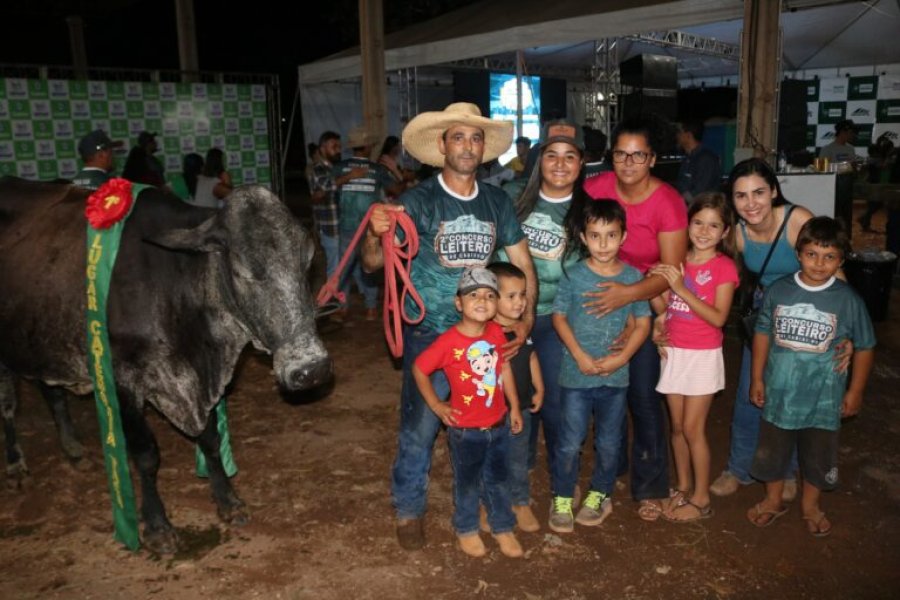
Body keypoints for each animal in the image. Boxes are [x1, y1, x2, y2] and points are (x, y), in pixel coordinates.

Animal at [0, 178, 330, 552]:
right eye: (241, 270)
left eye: (307, 263)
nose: (311, 369)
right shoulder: (123, 380)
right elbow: (146, 454)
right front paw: (158, 526)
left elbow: (210, 440)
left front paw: (228, 501)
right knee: (9, 406)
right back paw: (15, 465)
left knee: (51, 392)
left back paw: (72, 449)